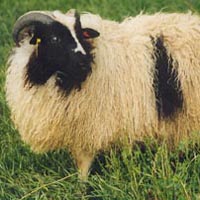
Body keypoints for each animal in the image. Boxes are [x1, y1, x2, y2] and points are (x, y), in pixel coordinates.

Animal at [5, 9, 200, 180]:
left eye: (80, 35)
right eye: (54, 38)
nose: (84, 62)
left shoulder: (91, 125)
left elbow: (84, 164)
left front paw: (82, 187)